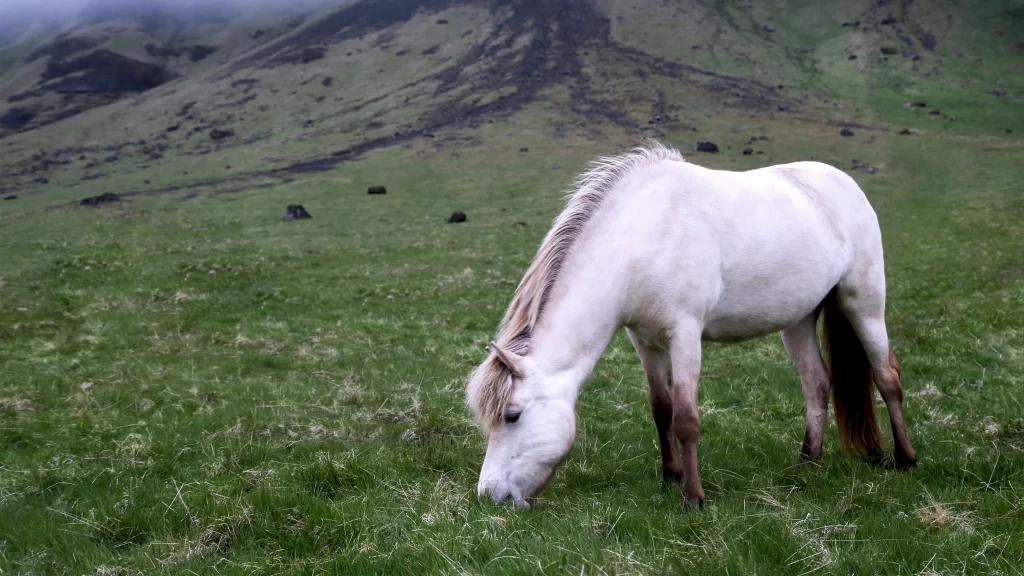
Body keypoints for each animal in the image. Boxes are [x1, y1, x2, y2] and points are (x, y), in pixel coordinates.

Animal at [466, 141, 916, 510]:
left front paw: (693, 498)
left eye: (512, 416)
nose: (490, 495)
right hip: (799, 320)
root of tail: (844, 182)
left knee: (886, 377)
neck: (641, 240)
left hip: (864, 304)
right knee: (817, 383)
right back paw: (808, 461)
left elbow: (685, 419)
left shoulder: (684, 335)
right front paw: (670, 477)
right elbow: (661, 410)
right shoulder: (644, 341)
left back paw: (906, 459)